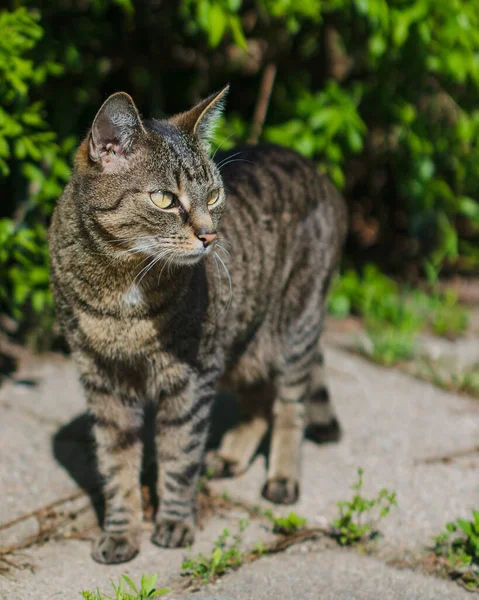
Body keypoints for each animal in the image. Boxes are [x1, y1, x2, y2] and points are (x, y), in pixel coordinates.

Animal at [48, 86, 346, 564]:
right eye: (165, 199)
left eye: (214, 197)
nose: (209, 235)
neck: (121, 289)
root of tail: (315, 169)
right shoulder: (103, 381)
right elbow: (116, 465)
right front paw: (121, 533)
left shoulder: (190, 377)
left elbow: (179, 456)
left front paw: (173, 523)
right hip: (240, 344)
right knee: (258, 400)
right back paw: (231, 457)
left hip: (294, 328)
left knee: (289, 407)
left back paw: (282, 479)